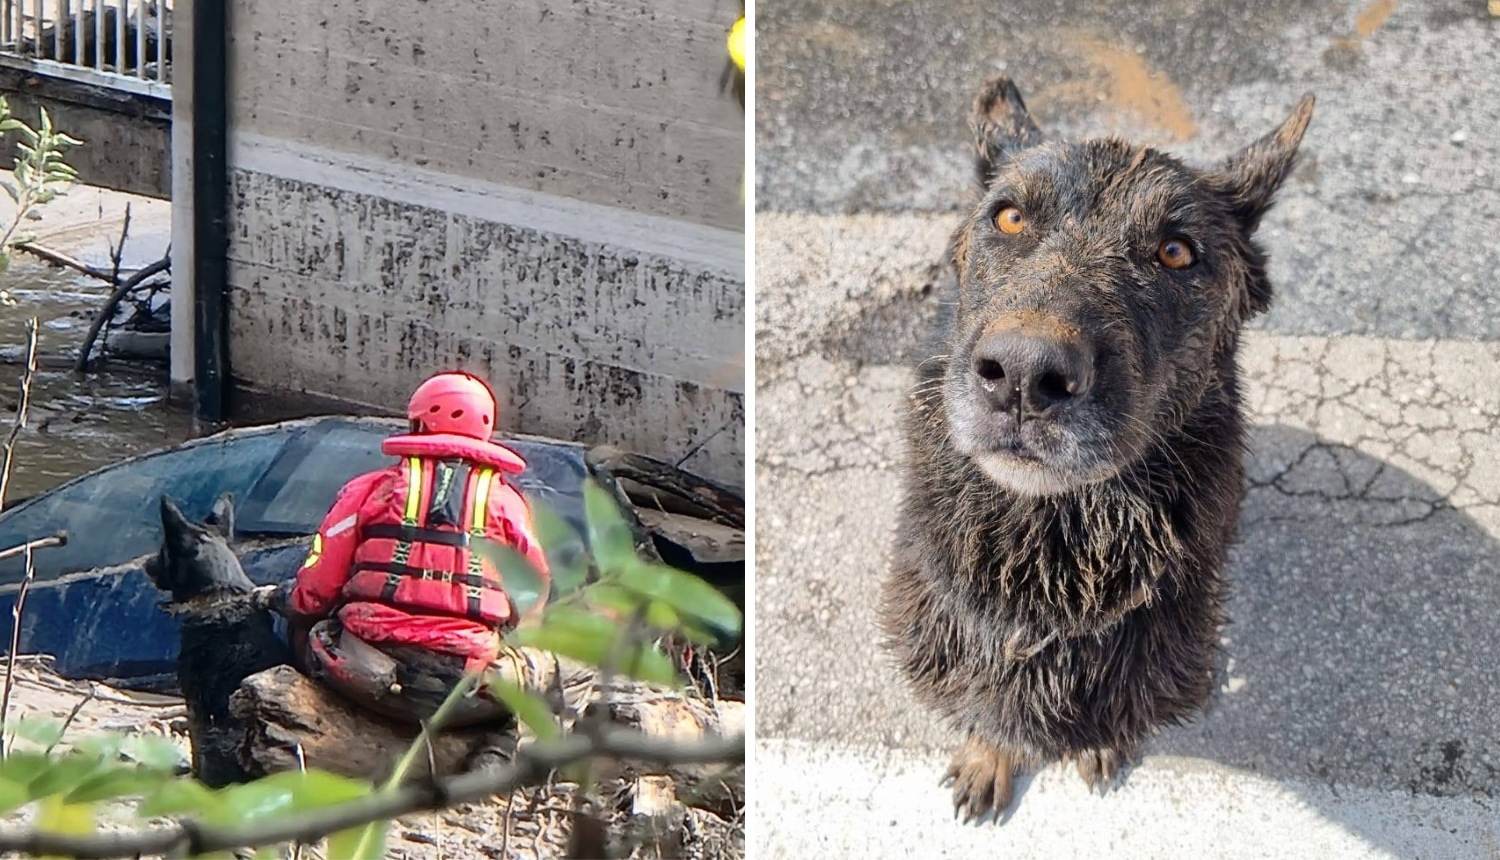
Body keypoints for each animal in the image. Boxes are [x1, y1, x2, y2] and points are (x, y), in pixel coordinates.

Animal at [876, 78, 1314, 816]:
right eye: (1009, 218)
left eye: (1176, 251)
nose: (1023, 376)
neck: (1048, 561)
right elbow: (991, 715)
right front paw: (988, 754)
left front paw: (1099, 747)